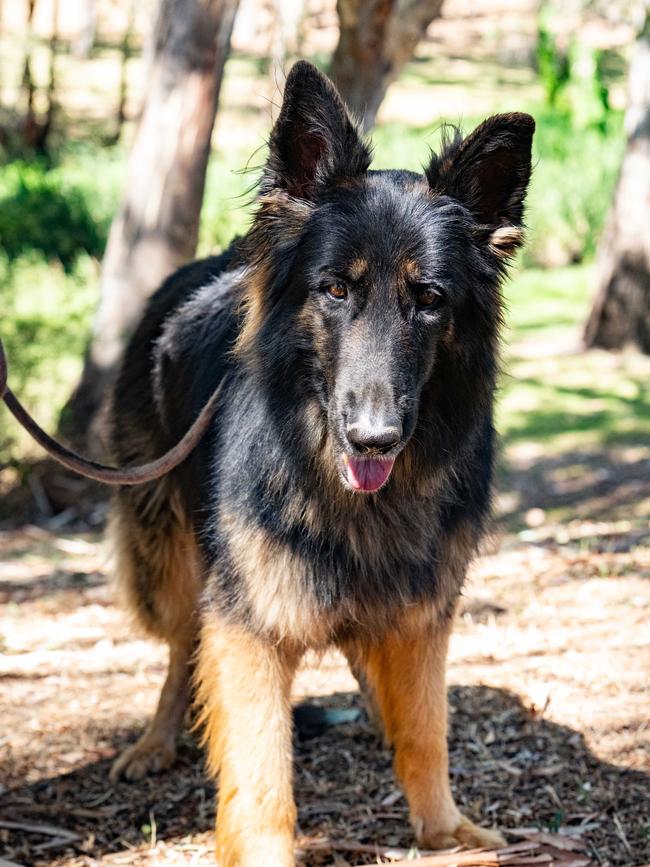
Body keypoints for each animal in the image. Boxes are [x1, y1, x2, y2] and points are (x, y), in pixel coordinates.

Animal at [106, 57, 532, 864]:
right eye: (335, 289)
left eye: (429, 300)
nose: (374, 438)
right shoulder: (250, 624)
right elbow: (261, 769)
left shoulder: (424, 607)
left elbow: (426, 728)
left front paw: (442, 829)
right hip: (172, 558)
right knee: (180, 650)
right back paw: (155, 740)